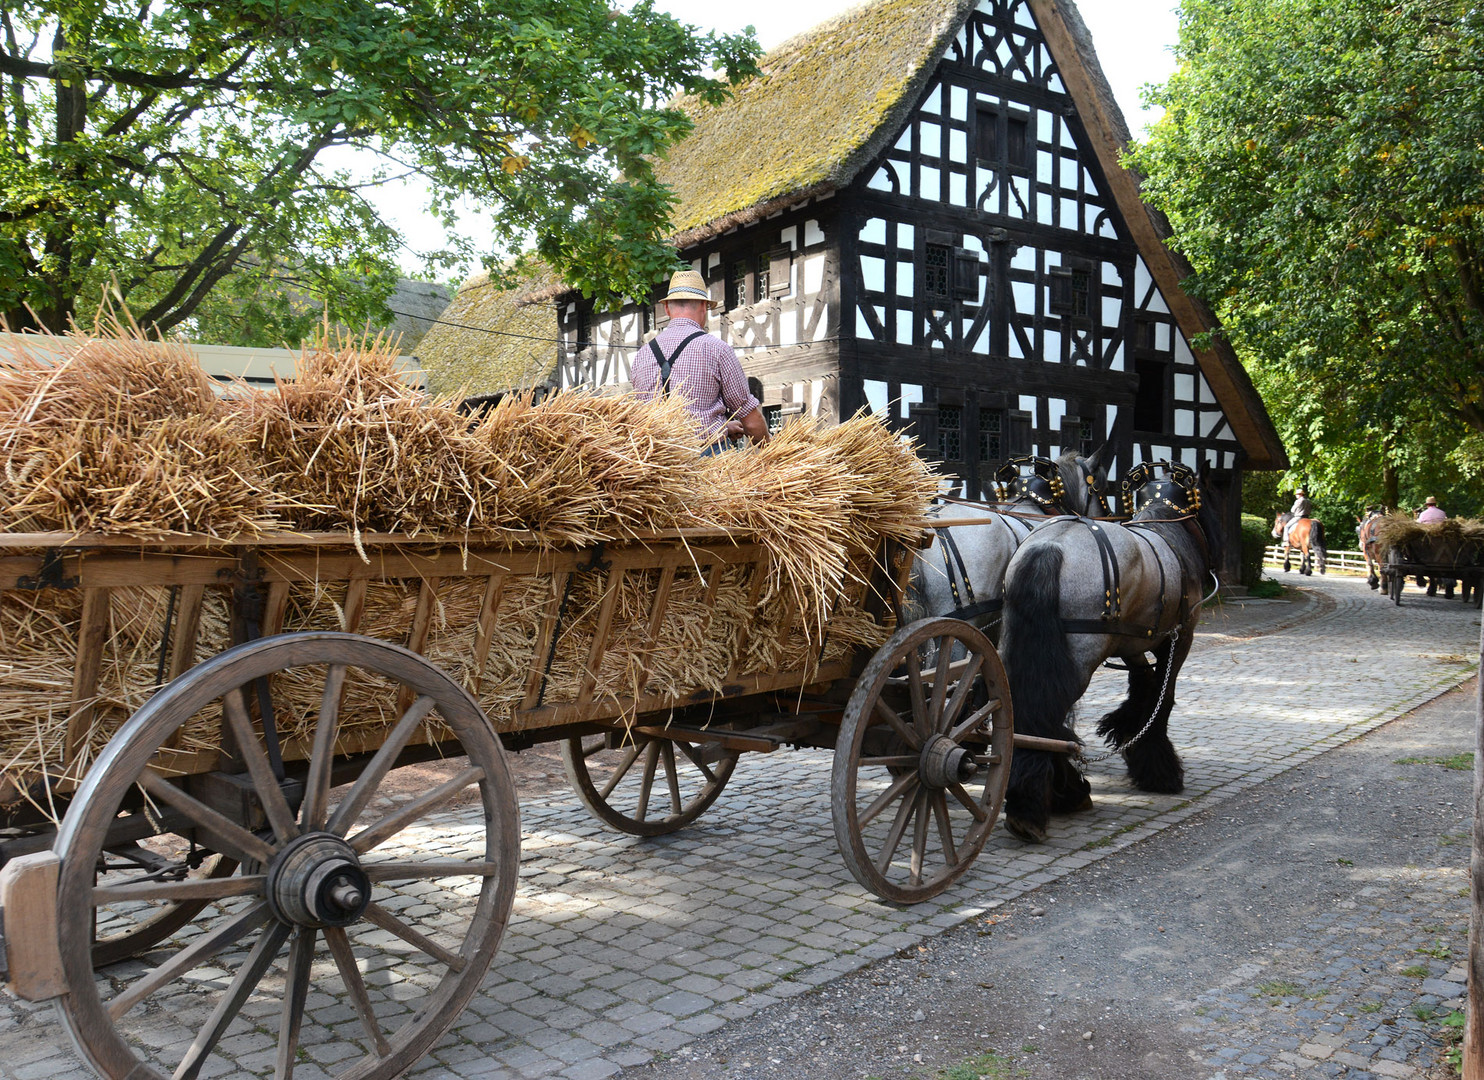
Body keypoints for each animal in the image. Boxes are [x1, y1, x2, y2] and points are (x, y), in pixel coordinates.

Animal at [997, 462, 1216, 842]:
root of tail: (1051, 546)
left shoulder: (1132, 641)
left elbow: (1144, 685)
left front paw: (1126, 730)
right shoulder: (1180, 637)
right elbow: (1163, 696)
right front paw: (1160, 770)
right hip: (1079, 663)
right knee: (1048, 716)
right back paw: (1050, 799)